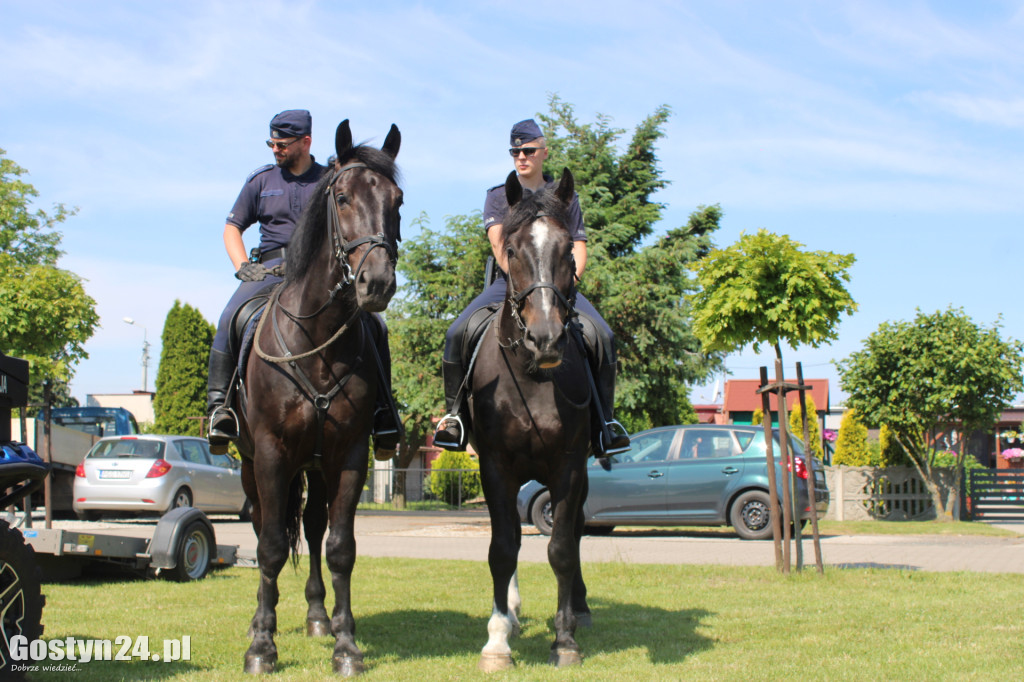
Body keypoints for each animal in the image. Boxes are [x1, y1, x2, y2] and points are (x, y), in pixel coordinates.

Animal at [234, 119, 401, 671]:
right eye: (343, 197)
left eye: (396, 200)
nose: (377, 282)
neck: (317, 338)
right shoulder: (270, 453)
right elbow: (268, 547)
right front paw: (261, 646)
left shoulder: (347, 455)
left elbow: (339, 547)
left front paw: (345, 644)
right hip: (253, 465)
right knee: (265, 526)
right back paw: (260, 621)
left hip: (314, 466)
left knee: (309, 528)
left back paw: (316, 617)